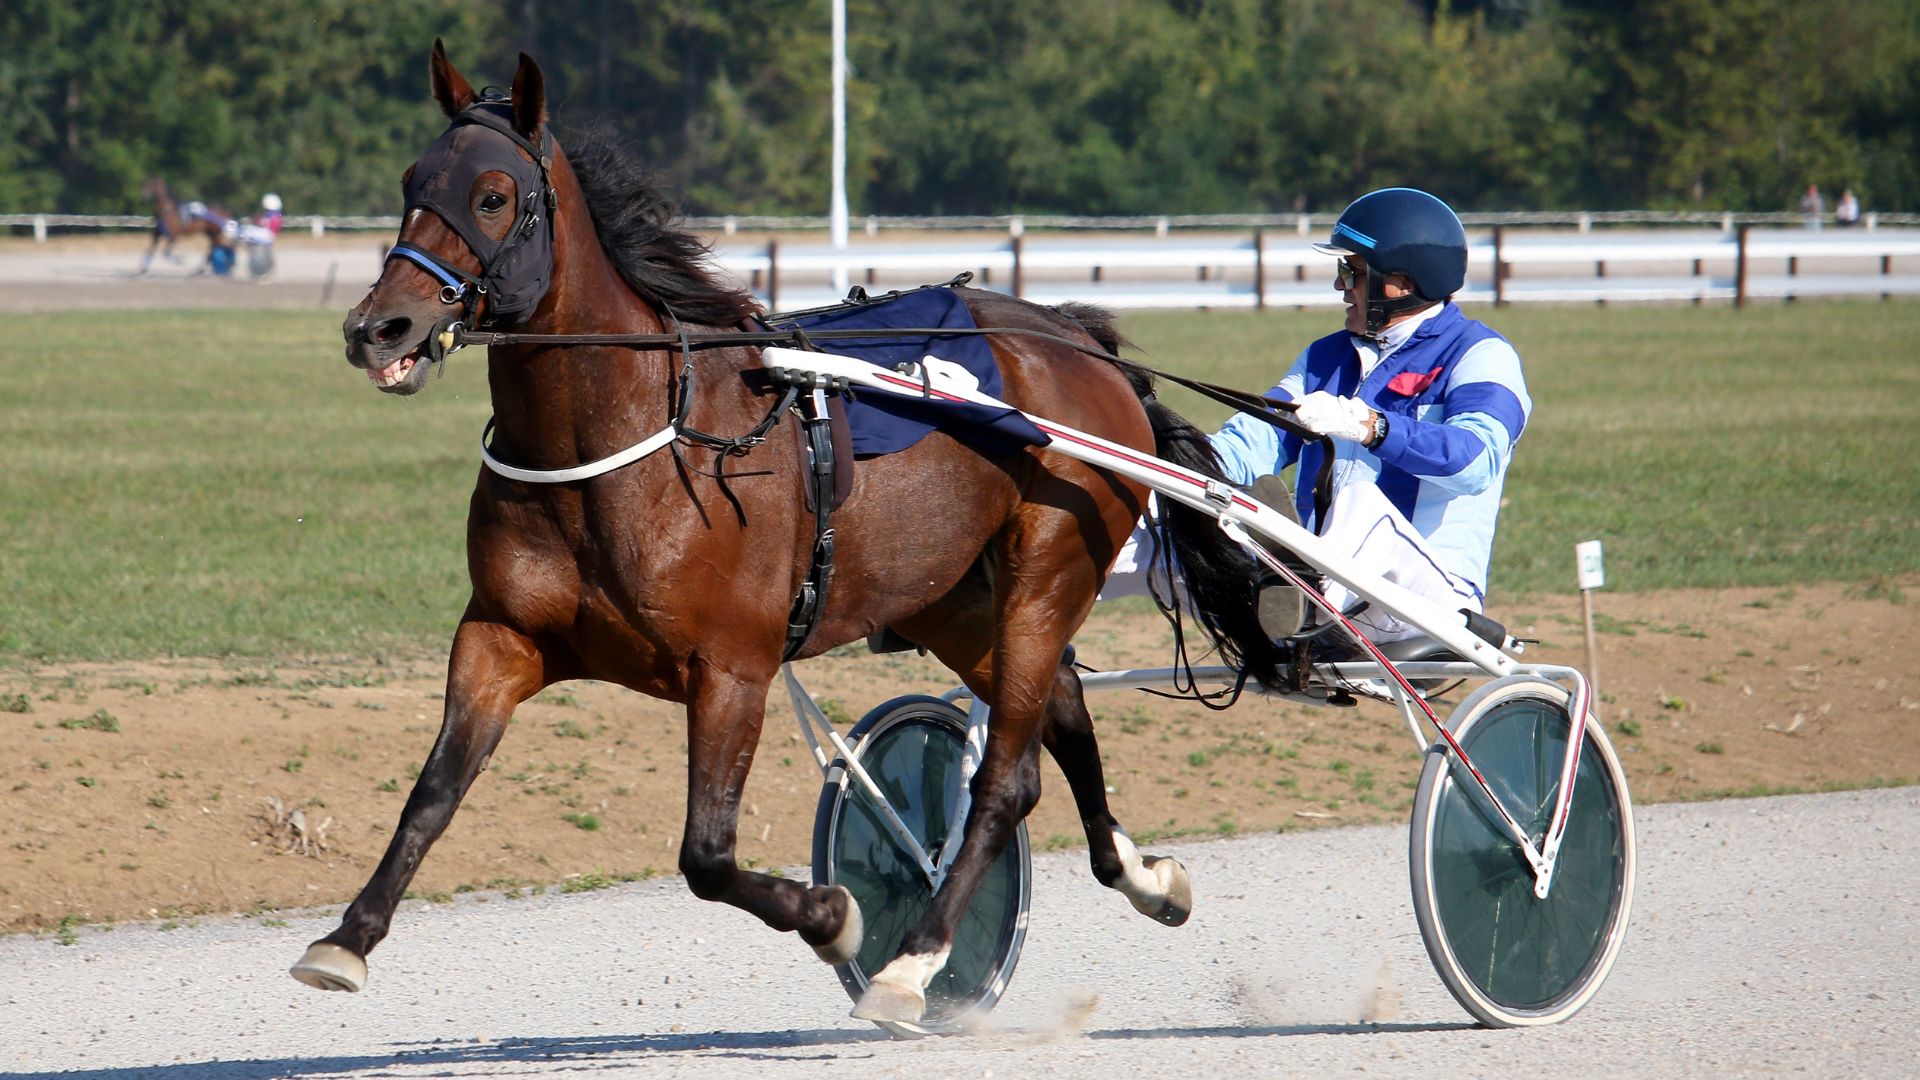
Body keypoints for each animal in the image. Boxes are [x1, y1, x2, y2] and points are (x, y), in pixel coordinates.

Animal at [293, 40, 1278, 1024]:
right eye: (413, 180)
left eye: (494, 195)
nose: (378, 326)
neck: (627, 439)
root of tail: (1079, 339)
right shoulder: (501, 634)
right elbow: (433, 791)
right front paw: (346, 938)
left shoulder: (732, 667)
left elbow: (706, 855)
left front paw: (837, 918)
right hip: (951, 600)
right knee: (1063, 718)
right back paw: (1146, 877)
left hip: (1047, 572)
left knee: (1007, 778)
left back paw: (912, 961)